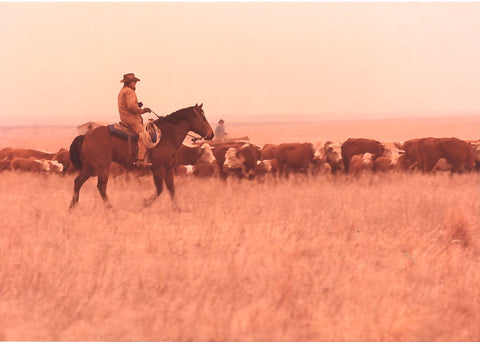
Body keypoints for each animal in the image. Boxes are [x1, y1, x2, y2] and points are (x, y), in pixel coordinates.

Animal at [68, 102, 213, 208]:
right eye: (203, 117)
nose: (211, 134)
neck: (167, 136)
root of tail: (86, 136)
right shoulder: (157, 168)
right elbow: (160, 189)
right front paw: (144, 204)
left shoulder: (168, 168)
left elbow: (171, 189)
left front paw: (177, 209)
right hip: (101, 167)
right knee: (101, 186)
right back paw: (111, 209)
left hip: (89, 167)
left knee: (78, 182)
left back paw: (72, 207)